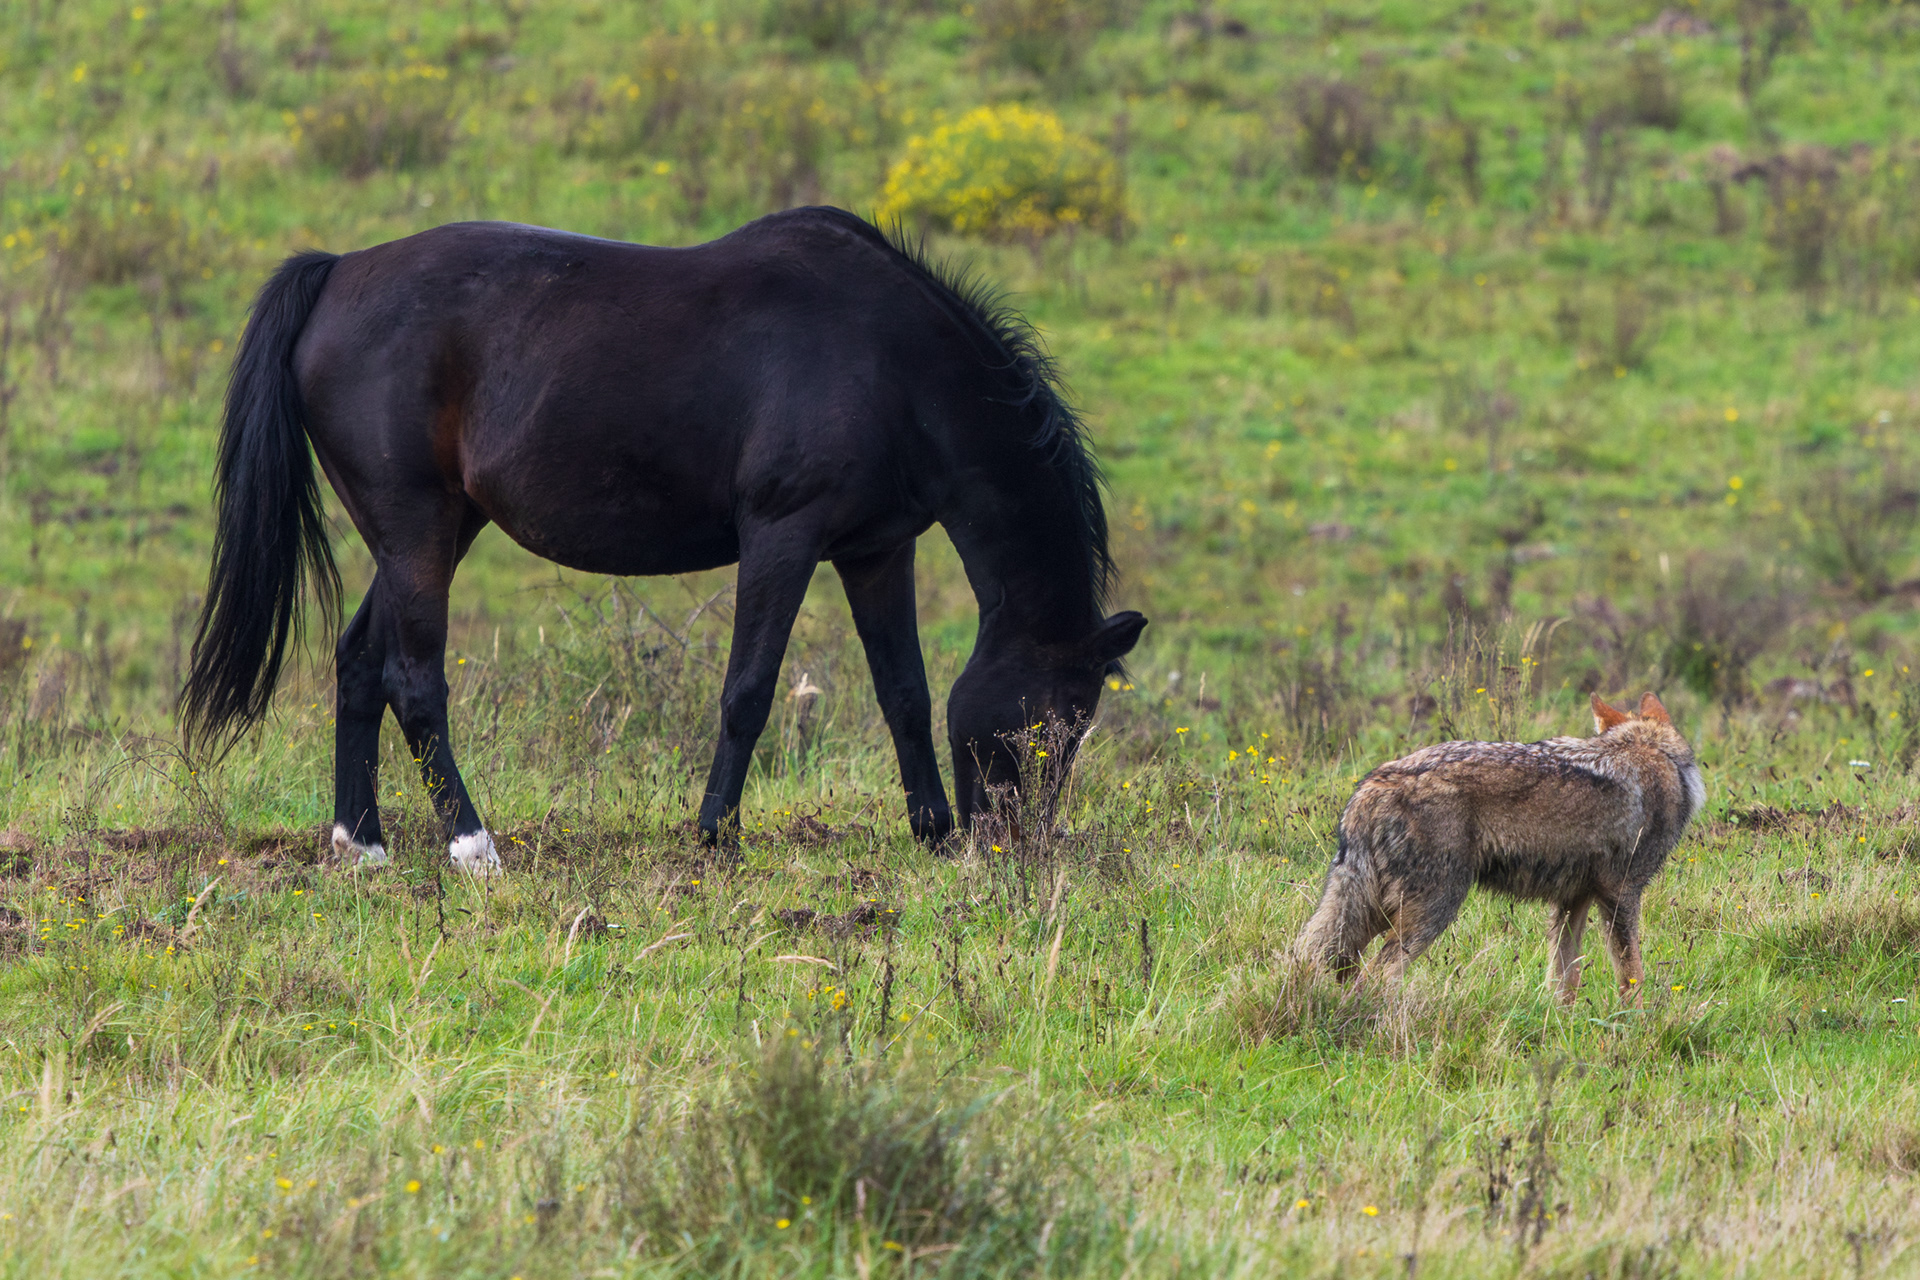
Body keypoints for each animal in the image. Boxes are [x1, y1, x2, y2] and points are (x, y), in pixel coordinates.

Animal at [181, 208, 1146, 872]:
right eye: (1053, 722)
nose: (1015, 845)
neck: (887, 363)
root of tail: (338, 271)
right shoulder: (783, 537)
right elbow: (748, 691)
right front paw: (716, 833)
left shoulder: (876, 549)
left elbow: (902, 691)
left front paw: (931, 830)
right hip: (417, 528)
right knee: (413, 682)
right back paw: (473, 847)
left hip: (438, 529)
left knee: (358, 662)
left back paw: (364, 842)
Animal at [1294, 692, 1704, 1003]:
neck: (1652, 752)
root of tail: (1372, 784)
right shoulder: (1622, 895)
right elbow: (1632, 976)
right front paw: (1636, 1024)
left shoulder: (1573, 901)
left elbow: (1564, 980)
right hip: (1431, 912)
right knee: (1376, 977)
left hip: (1366, 916)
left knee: (1313, 958)